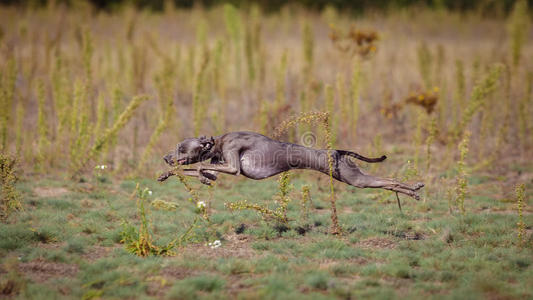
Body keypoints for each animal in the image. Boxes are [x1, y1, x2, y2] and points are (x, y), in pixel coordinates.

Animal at [158, 131, 424, 199]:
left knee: (390, 180)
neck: (218, 142)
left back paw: (414, 189)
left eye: (181, 148)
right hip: (352, 176)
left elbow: (197, 168)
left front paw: (203, 178)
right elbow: (193, 170)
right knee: (388, 183)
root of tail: (336, 151)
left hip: (355, 179)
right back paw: (413, 191)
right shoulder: (218, 166)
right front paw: (166, 174)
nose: (165, 157)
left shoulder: (234, 166)